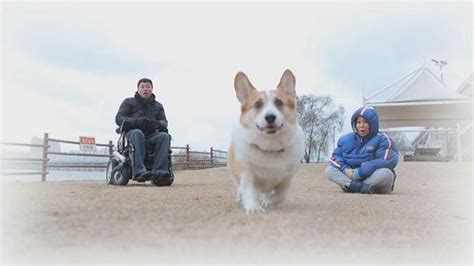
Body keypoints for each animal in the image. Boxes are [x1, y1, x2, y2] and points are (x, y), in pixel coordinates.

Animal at [229, 69, 304, 214]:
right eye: (258, 104)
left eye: (279, 102)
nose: (270, 117)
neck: (270, 146)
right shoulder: (246, 173)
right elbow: (248, 191)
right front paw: (254, 207)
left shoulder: (286, 180)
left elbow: (280, 195)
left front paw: (268, 202)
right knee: (240, 188)